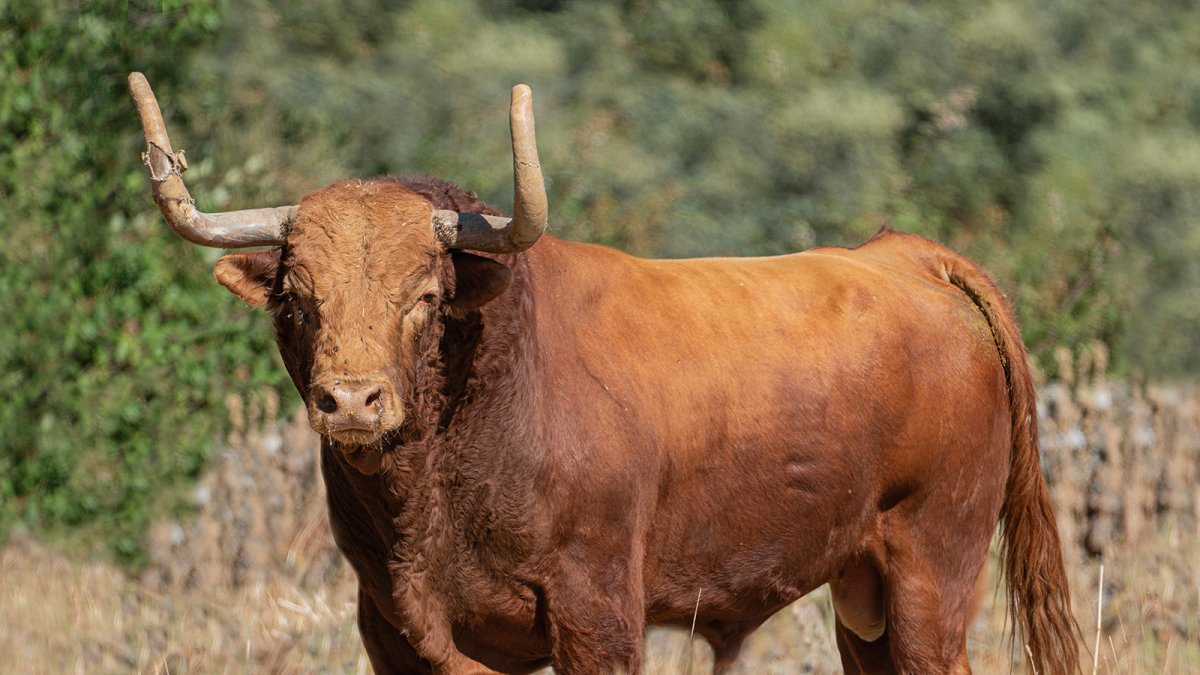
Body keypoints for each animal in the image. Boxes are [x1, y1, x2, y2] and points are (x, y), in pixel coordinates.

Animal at [129, 70, 1080, 667]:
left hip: (933, 568)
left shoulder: (597, 611)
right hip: (864, 590)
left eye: (425, 295)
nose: (353, 400)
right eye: (297, 298)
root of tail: (903, 253)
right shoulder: (394, 625)